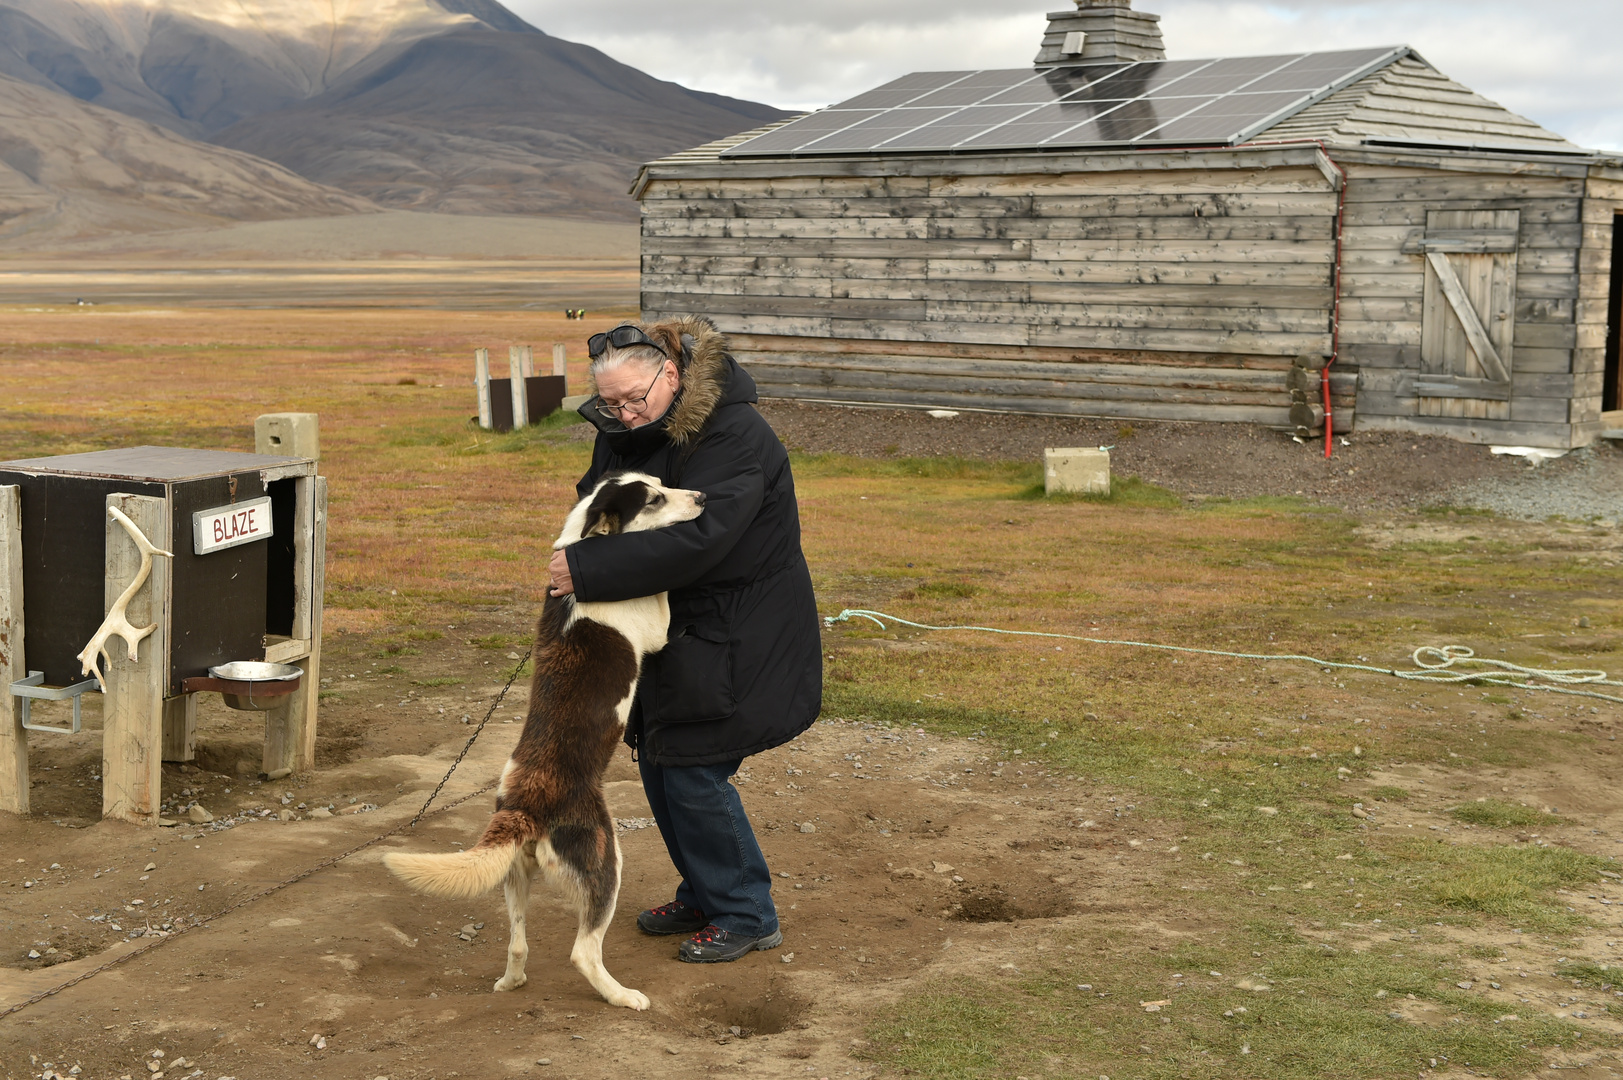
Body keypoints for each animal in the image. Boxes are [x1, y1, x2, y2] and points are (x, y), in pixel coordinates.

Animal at [386, 470, 710, 1013]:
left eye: (662, 482)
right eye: (655, 499)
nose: (703, 497)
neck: (585, 546)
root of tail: (526, 805)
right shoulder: (657, 629)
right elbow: (662, 591)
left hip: (515, 876)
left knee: (517, 943)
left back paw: (512, 981)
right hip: (606, 862)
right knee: (584, 951)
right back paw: (623, 996)